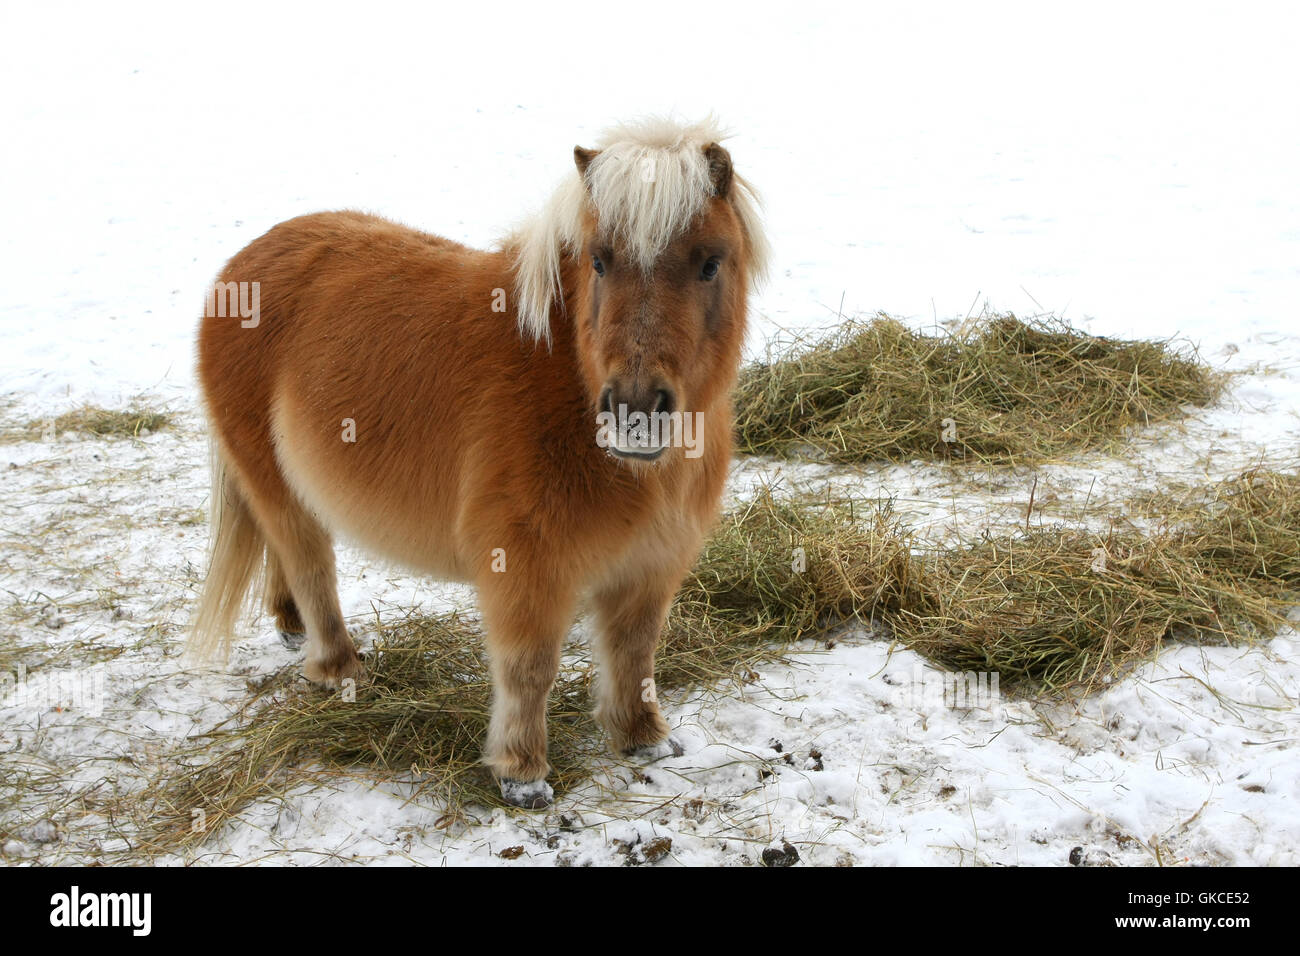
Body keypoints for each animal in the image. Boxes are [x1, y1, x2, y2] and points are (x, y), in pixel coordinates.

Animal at [190, 116, 771, 808]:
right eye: (599, 259)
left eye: (710, 262)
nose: (634, 409)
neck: (563, 379)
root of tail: (240, 266)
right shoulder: (525, 565)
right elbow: (530, 666)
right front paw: (523, 775)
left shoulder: (652, 563)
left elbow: (634, 653)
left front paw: (643, 739)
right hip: (275, 485)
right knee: (309, 565)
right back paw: (337, 668)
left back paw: (290, 626)